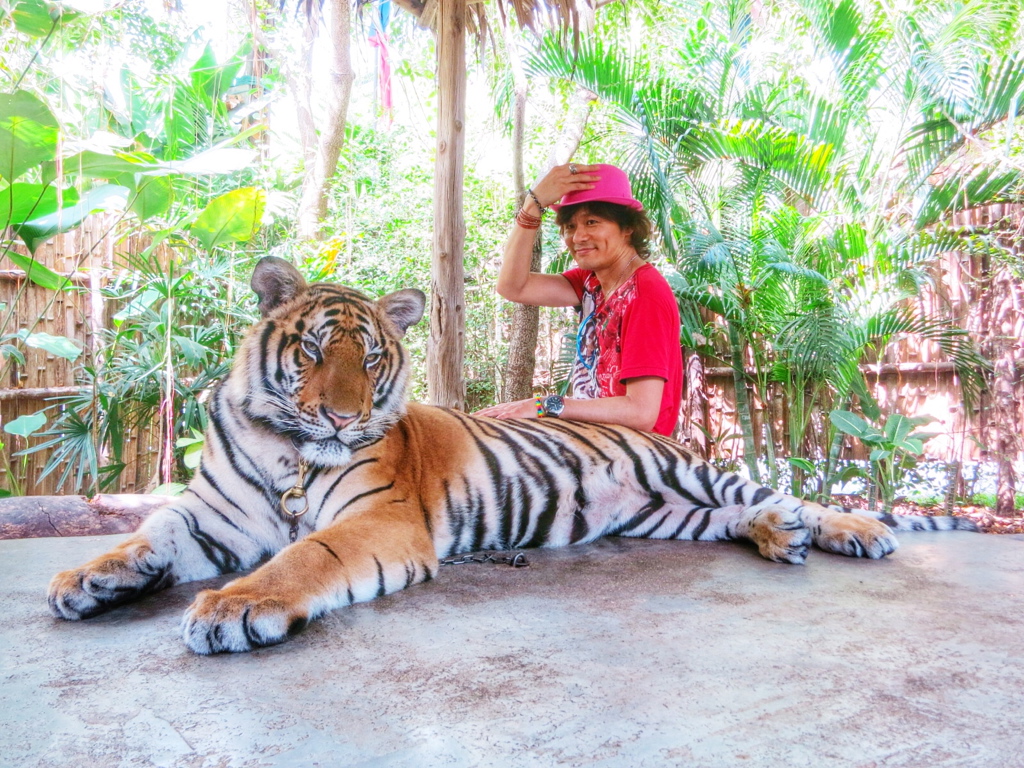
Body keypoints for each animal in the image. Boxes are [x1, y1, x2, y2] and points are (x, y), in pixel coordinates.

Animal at [46, 259, 974, 655]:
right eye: (311, 352)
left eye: (370, 359)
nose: (344, 416)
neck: (288, 449)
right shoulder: (213, 513)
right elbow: (148, 534)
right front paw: (89, 578)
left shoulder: (377, 518)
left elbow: (304, 557)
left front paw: (233, 607)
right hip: (670, 515)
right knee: (740, 516)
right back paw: (779, 535)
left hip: (693, 470)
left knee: (788, 491)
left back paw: (843, 529)